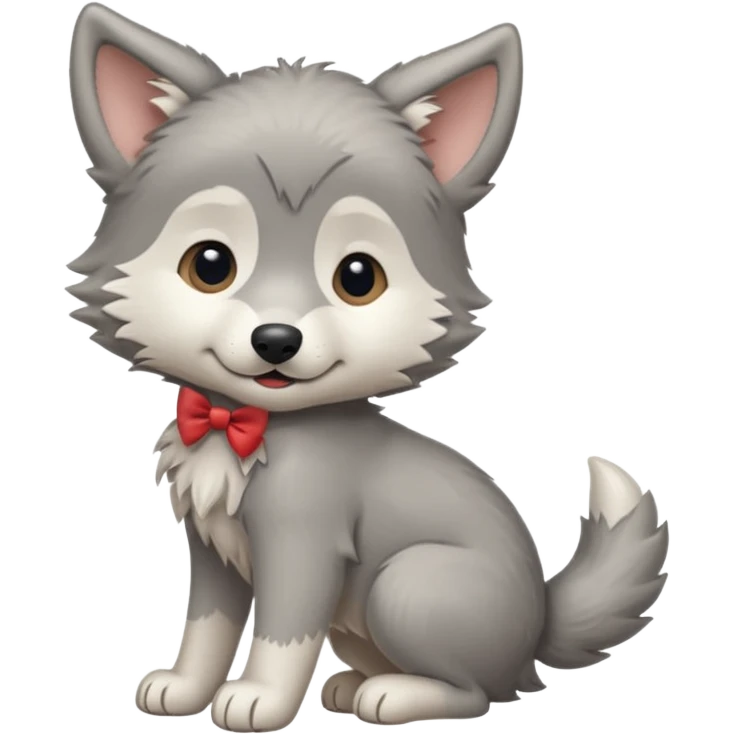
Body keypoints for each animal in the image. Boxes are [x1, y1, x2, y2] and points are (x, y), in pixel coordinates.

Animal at [66, 4, 670, 732]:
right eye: (209, 265)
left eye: (359, 278)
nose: (276, 339)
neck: (249, 427)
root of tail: (538, 625)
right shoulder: (213, 551)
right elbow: (206, 629)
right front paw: (183, 690)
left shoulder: (305, 544)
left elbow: (281, 636)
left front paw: (258, 699)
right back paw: (354, 686)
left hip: (407, 583)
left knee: (477, 692)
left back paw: (397, 696)